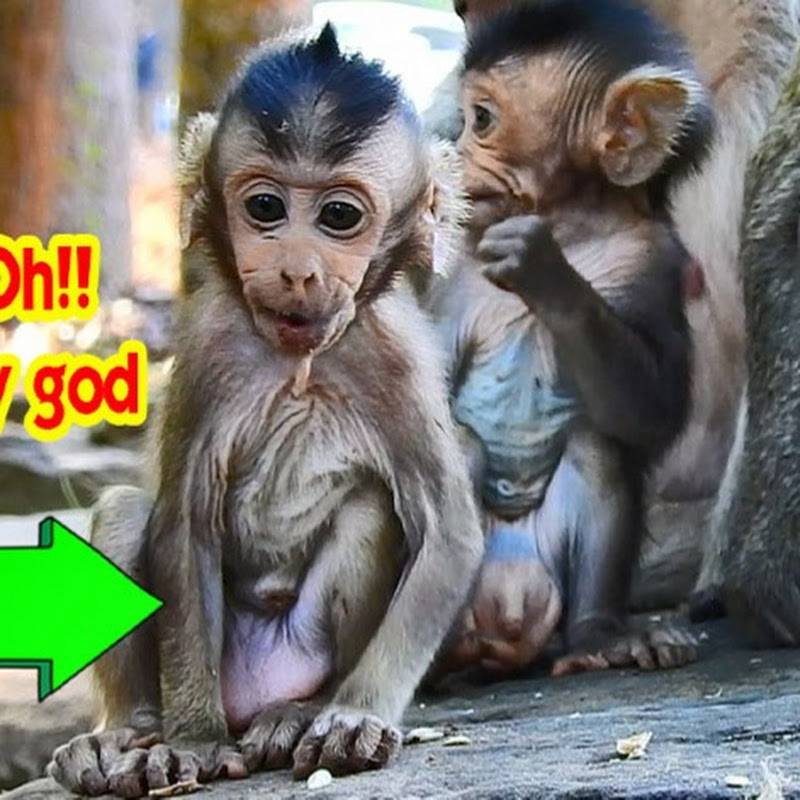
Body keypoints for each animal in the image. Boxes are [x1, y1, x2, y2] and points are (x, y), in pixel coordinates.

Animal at [47, 25, 483, 797]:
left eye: (339, 217)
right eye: (266, 210)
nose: (298, 271)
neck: (298, 359)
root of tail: (248, 698)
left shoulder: (397, 358)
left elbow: (448, 529)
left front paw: (353, 716)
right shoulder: (207, 352)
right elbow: (183, 522)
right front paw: (191, 741)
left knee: (370, 508)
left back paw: (299, 711)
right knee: (127, 511)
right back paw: (128, 733)